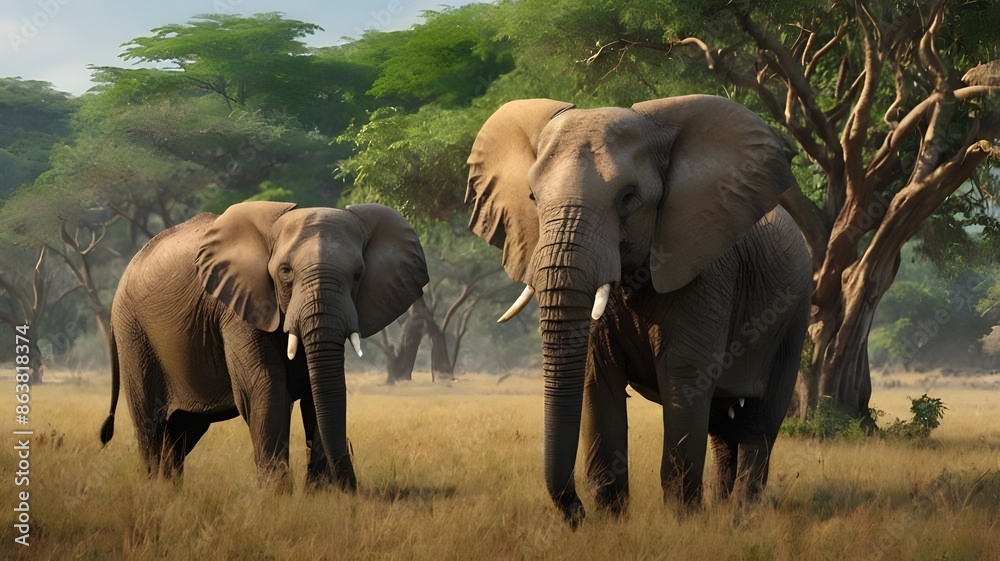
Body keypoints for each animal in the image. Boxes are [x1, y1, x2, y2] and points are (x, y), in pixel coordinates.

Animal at [99, 201, 428, 491]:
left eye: (358, 275)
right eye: (285, 272)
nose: (351, 489)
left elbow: (319, 392)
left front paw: (319, 495)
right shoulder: (238, 305)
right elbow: (265, 387)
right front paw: (276, 495)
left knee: (183, 430)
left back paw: (171, 494)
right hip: (134, 333)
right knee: (151, 424)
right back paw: (154, 491)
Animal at [465, 95, 812, 525]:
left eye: (628, 198)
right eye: (532, 198)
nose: (575, 513)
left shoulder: (707, 269)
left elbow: (684, 375)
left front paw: (681, 521)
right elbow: (597, 375)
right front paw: (611, 519)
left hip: (795, 310)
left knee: (760, 418)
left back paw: (743, 514)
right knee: (721, 423)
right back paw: (722, 507)